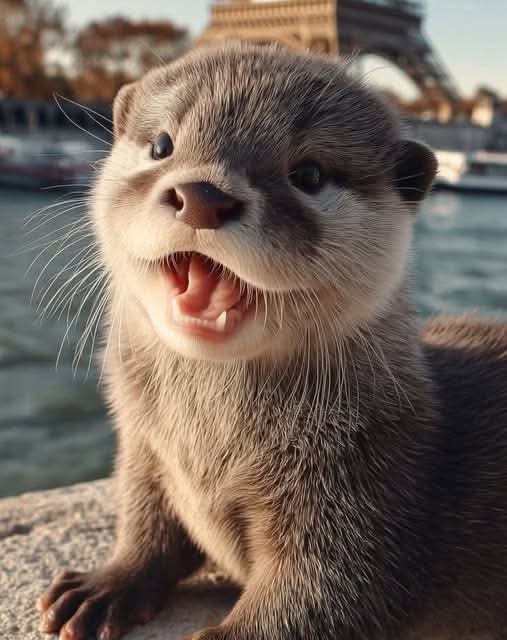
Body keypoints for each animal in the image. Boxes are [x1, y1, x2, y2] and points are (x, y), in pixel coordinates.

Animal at [37, 41, 507, 640]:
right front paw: (103, 586)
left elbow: (321, 596)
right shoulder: (145, 451)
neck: (207, 449)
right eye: (162, 145)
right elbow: (148, 528)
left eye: (308, 173)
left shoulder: (365, 493)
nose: (201, 195)